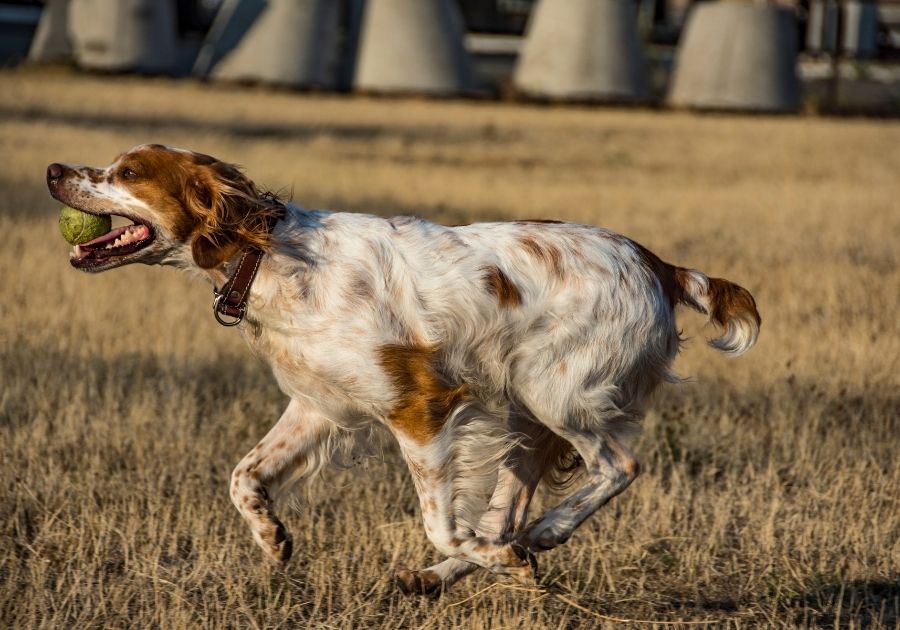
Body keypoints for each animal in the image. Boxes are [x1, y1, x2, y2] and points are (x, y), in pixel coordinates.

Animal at [47, 144, 760, 596]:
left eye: (127, 172)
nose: (53, 169)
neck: (268, 255)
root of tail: (659, 266)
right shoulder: (321, 405)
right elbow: (244, 475)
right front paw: (272, 536)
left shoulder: (421, 404)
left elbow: (440, 523)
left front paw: (490, 554)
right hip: (528, 420)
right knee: (508, 514)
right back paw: (464, 569)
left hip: (554, 394)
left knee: (618, 466)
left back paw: (542, 535)